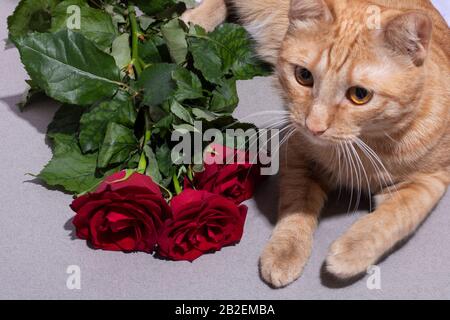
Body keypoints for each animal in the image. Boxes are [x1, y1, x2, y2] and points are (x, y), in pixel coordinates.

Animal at [182, 0, 450, 288]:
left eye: (360, 95)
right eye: (303, 76)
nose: (313, 126)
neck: (364, 145)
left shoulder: (431, 180)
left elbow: (395, 216)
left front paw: (351, 251)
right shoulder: (296, 150)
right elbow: (297, 202)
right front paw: (286, 250)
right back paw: (193, 19)